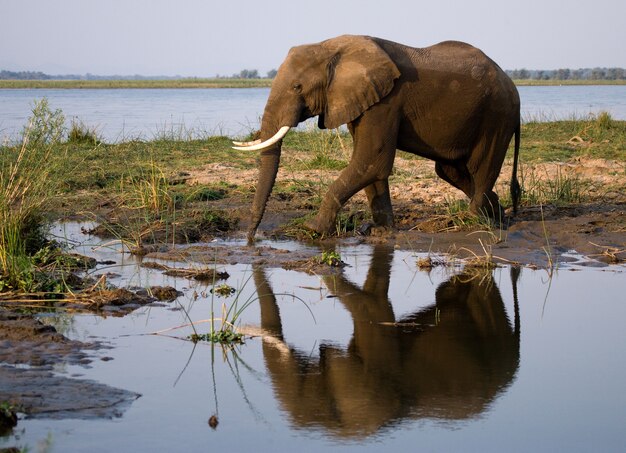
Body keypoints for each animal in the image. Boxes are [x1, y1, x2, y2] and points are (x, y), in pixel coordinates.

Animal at [232, 34, 520, 240]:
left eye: (297, 87)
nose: (252, 238)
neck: (331, 47)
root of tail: (512, 85)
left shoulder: (386, 101)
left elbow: (371, 160)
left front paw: (313, 229)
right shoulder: (363, 100)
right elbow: (371, 166)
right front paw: (380, 232)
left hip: (496, 115)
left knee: (481, 168)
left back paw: (469, 222)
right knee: (450, 171)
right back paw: (497, 217)